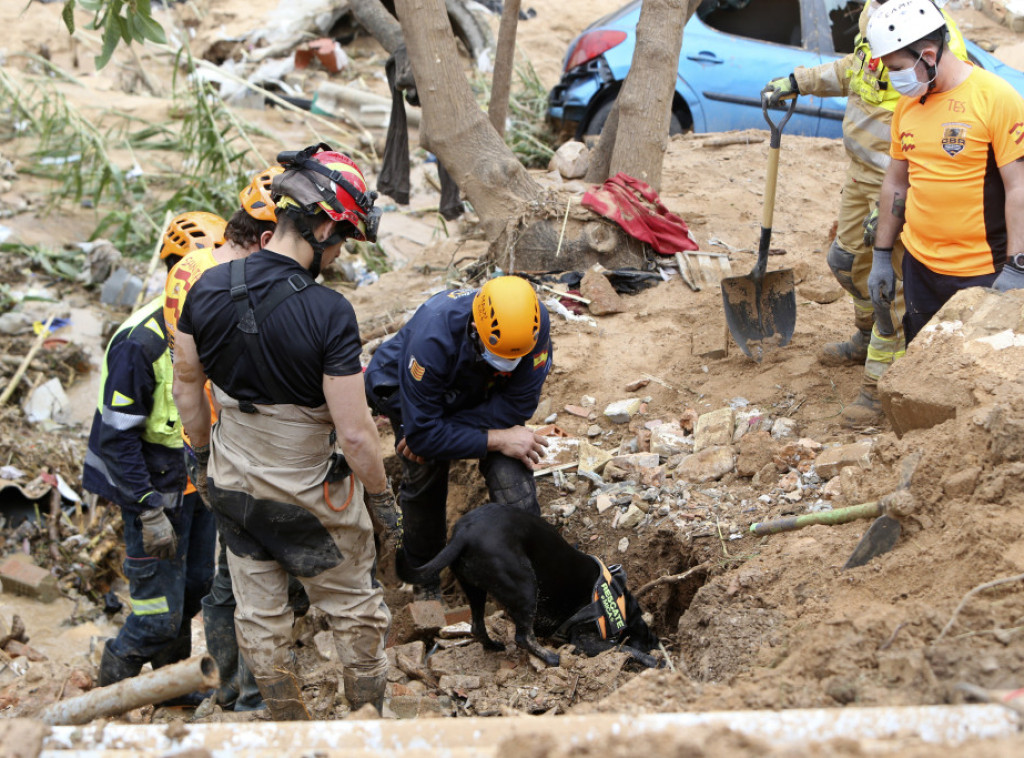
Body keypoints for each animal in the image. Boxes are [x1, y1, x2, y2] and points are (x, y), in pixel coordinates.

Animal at [395, 506, 659, 667]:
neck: (617, 600)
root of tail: (463, 534)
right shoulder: (584, 640)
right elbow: (624, 650)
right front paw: (655, 661)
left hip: (474, 587)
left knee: (478, 627)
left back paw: (494, 646)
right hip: (525, 584)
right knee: (522, 636)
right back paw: (551, 658)